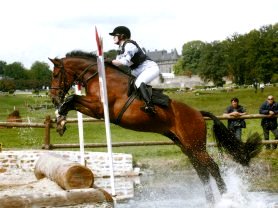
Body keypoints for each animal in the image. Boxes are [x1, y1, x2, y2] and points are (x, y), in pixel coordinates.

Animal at [49, 50, 260, 205]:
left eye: (56, 74)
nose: (52, 97)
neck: (99, 77)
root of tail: (198, 113)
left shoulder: (100, 108)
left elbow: (72, 98)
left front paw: (60, 119)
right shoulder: (95, 108)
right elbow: (73, 101)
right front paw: (60, 120)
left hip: (195, 145)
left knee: (212, 167)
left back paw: (226, 198)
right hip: (187, 146)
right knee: (202, 171)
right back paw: (211, 201)